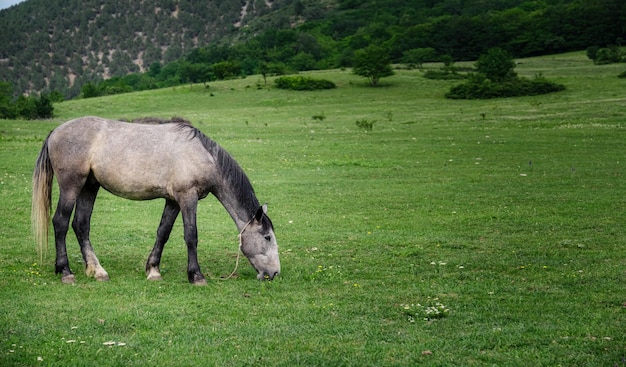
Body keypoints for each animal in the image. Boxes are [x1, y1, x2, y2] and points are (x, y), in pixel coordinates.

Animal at [31, 116, 280, 286]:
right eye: (267, 237)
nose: (274, 273)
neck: (202, 155)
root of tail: (56, 131)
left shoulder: (173, 201)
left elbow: (163, 232)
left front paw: (153, 270)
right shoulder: (187, 197)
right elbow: (191, 235)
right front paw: (196, 275)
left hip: (89, 186)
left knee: (81, 225)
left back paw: (97, 270)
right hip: (72, 185)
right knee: (61, 222)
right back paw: (65, 271)